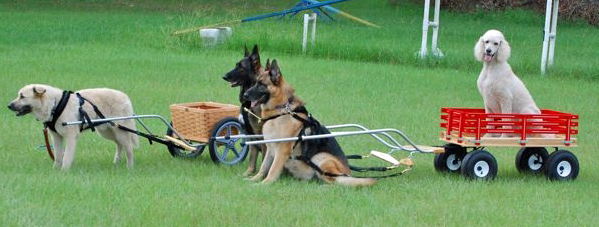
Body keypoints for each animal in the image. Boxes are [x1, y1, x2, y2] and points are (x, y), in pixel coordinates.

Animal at [7, 84, 139, 169]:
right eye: (19, 95)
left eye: (22, 96)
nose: (9, 106)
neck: (54, 104)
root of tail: (125, 96)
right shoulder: (56, 137)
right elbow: (58, 156)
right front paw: (55, 170)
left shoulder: (71, 136)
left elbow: (66, 157)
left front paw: (63, 172)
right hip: (107, 131)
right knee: (119, 144)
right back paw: (117, 161)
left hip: (119, 131)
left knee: (129, 148)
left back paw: (130, 167)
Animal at [223, 44, 264, 176]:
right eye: (236, 64)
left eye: (241, 67)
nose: (224, 76)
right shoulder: (250, 135)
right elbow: (252, 158)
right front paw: (248, 173)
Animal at [243, 59, 376, 185]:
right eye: (255, 82)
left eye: (261, 84)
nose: (244, 95)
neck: (281, 110)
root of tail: (347, 173)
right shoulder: (270, 149)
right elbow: (263, 167)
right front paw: (254, 179)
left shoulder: (282, 151)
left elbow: (272, 170)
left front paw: (264, 184)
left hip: (320, 156)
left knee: (335, 180)